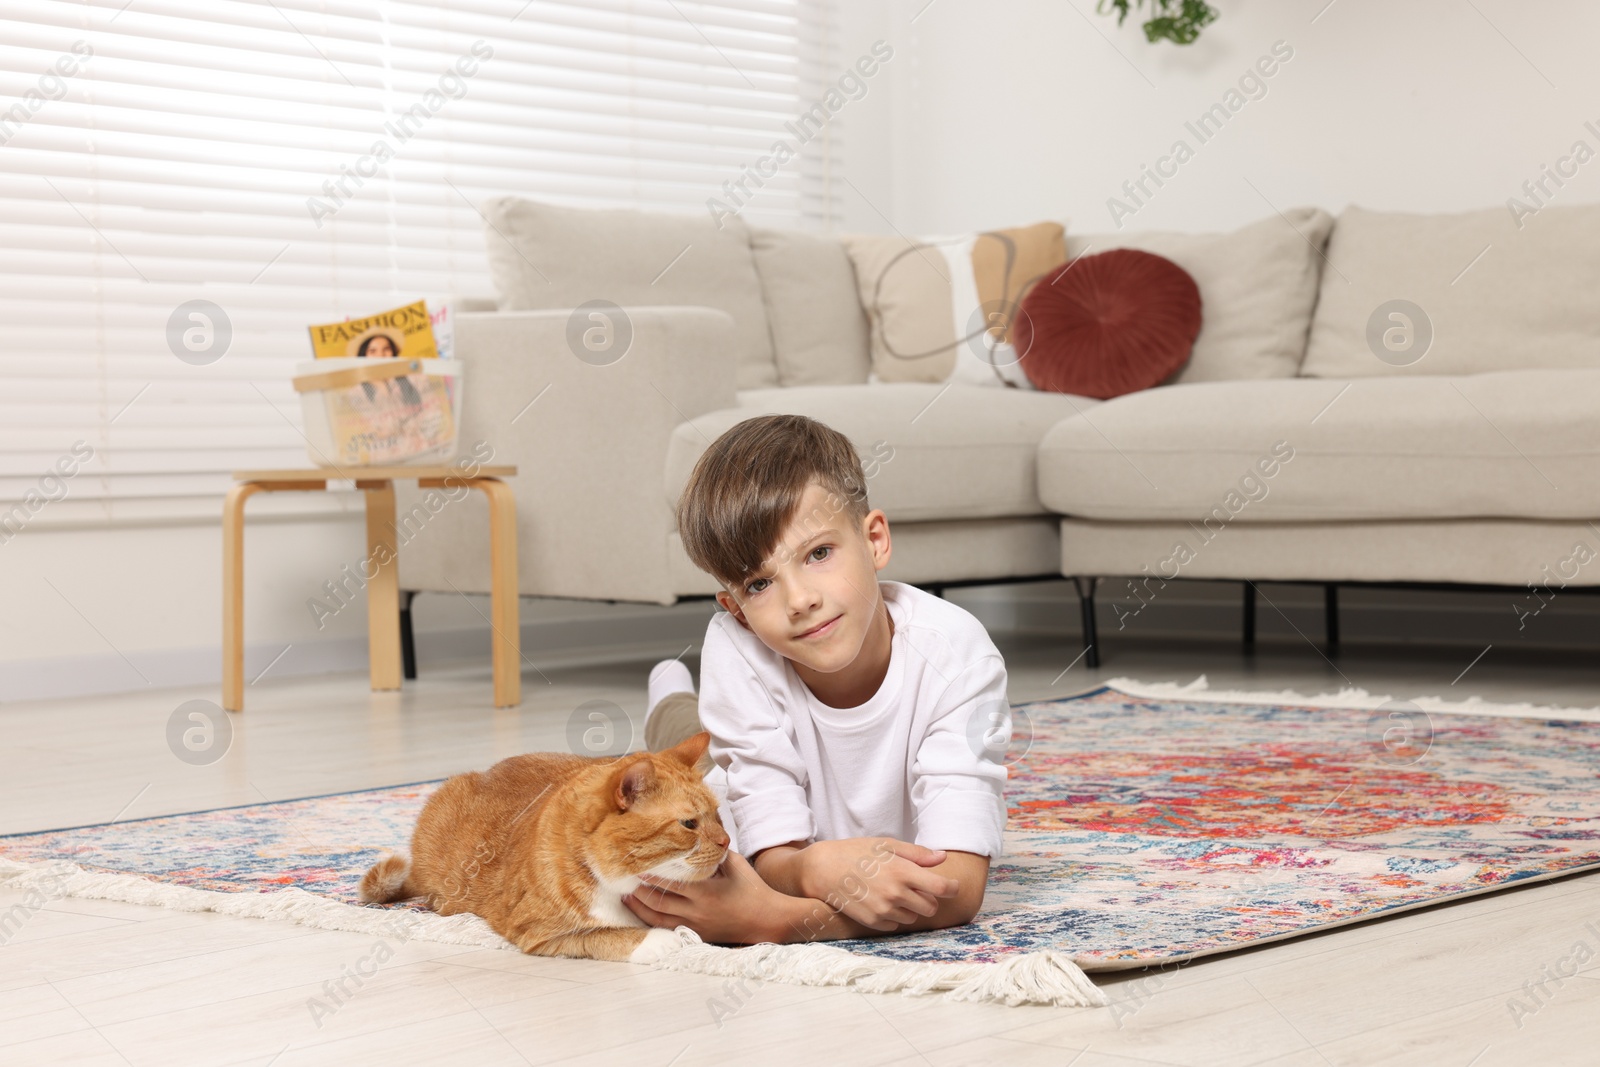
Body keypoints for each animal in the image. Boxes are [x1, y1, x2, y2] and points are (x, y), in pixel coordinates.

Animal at [360, 729, 729, 966]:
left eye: (718, 814)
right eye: (689, 824)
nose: (726, 843)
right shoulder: (540, 933)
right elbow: (605, 935)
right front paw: (661, 939)